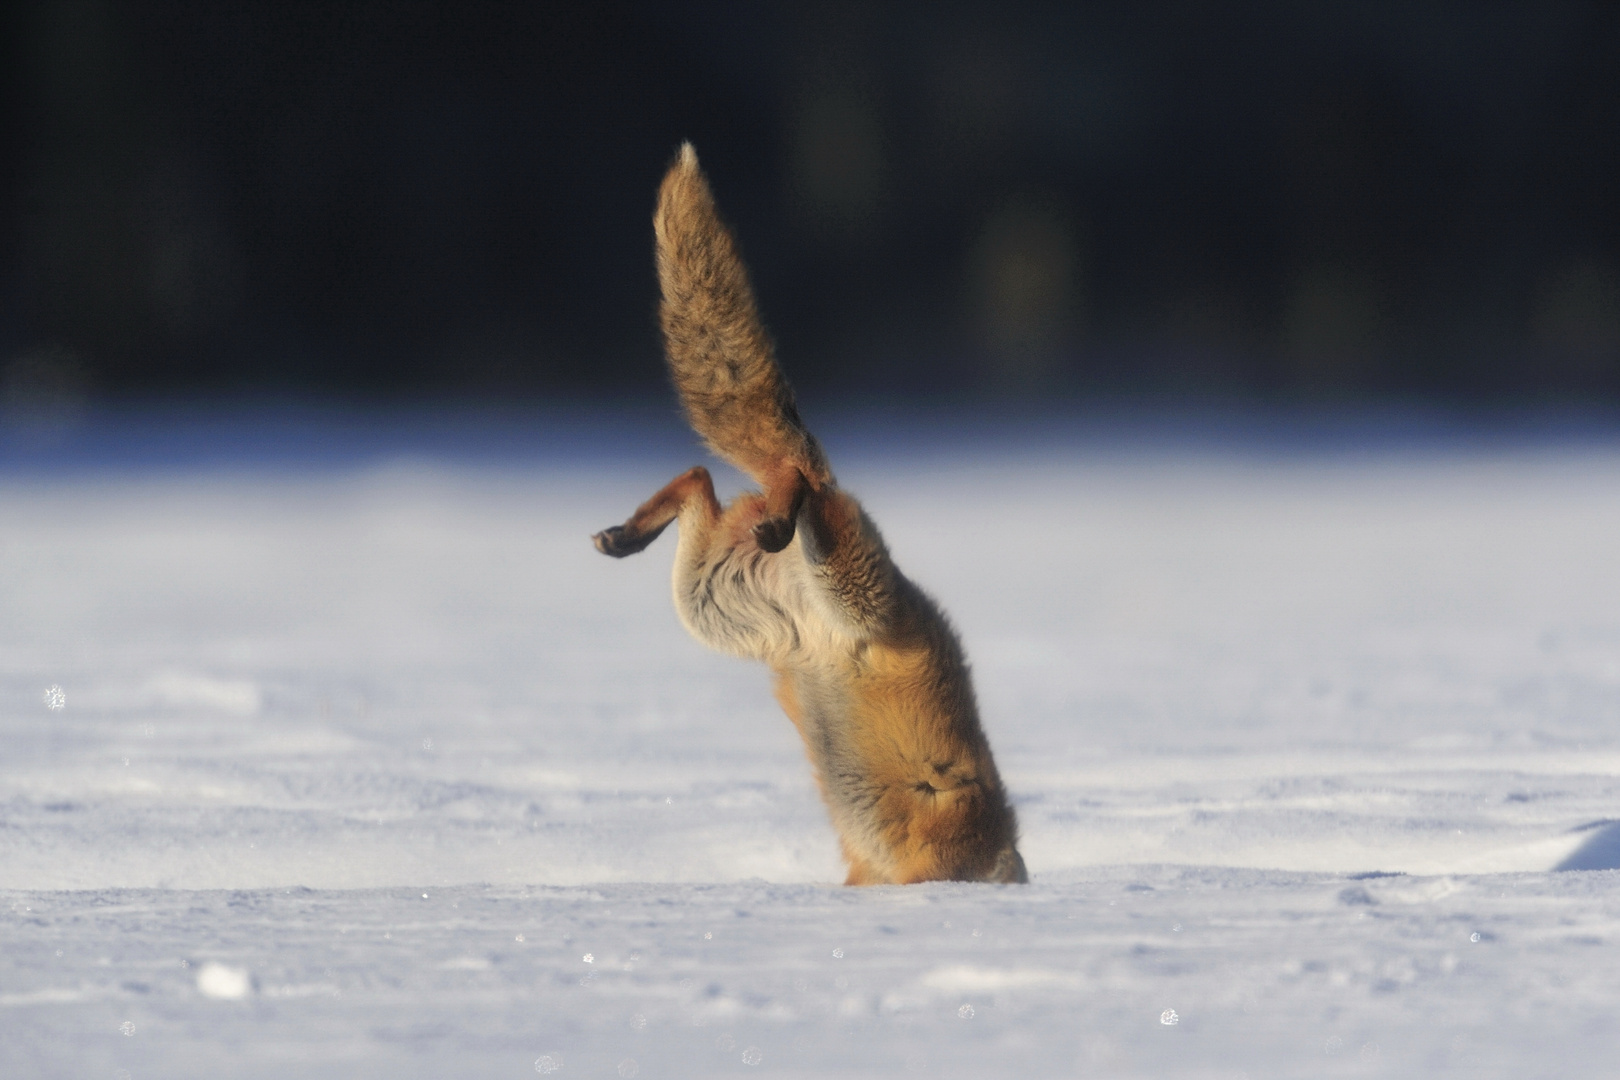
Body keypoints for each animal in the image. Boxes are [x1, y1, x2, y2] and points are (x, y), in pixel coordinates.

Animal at [596, 145, 1023, 887]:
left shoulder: (870, 874)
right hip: (851, 590)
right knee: (794, 478)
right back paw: (778, 509)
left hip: (707, 601)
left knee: (704, 480)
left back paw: (632, 533)